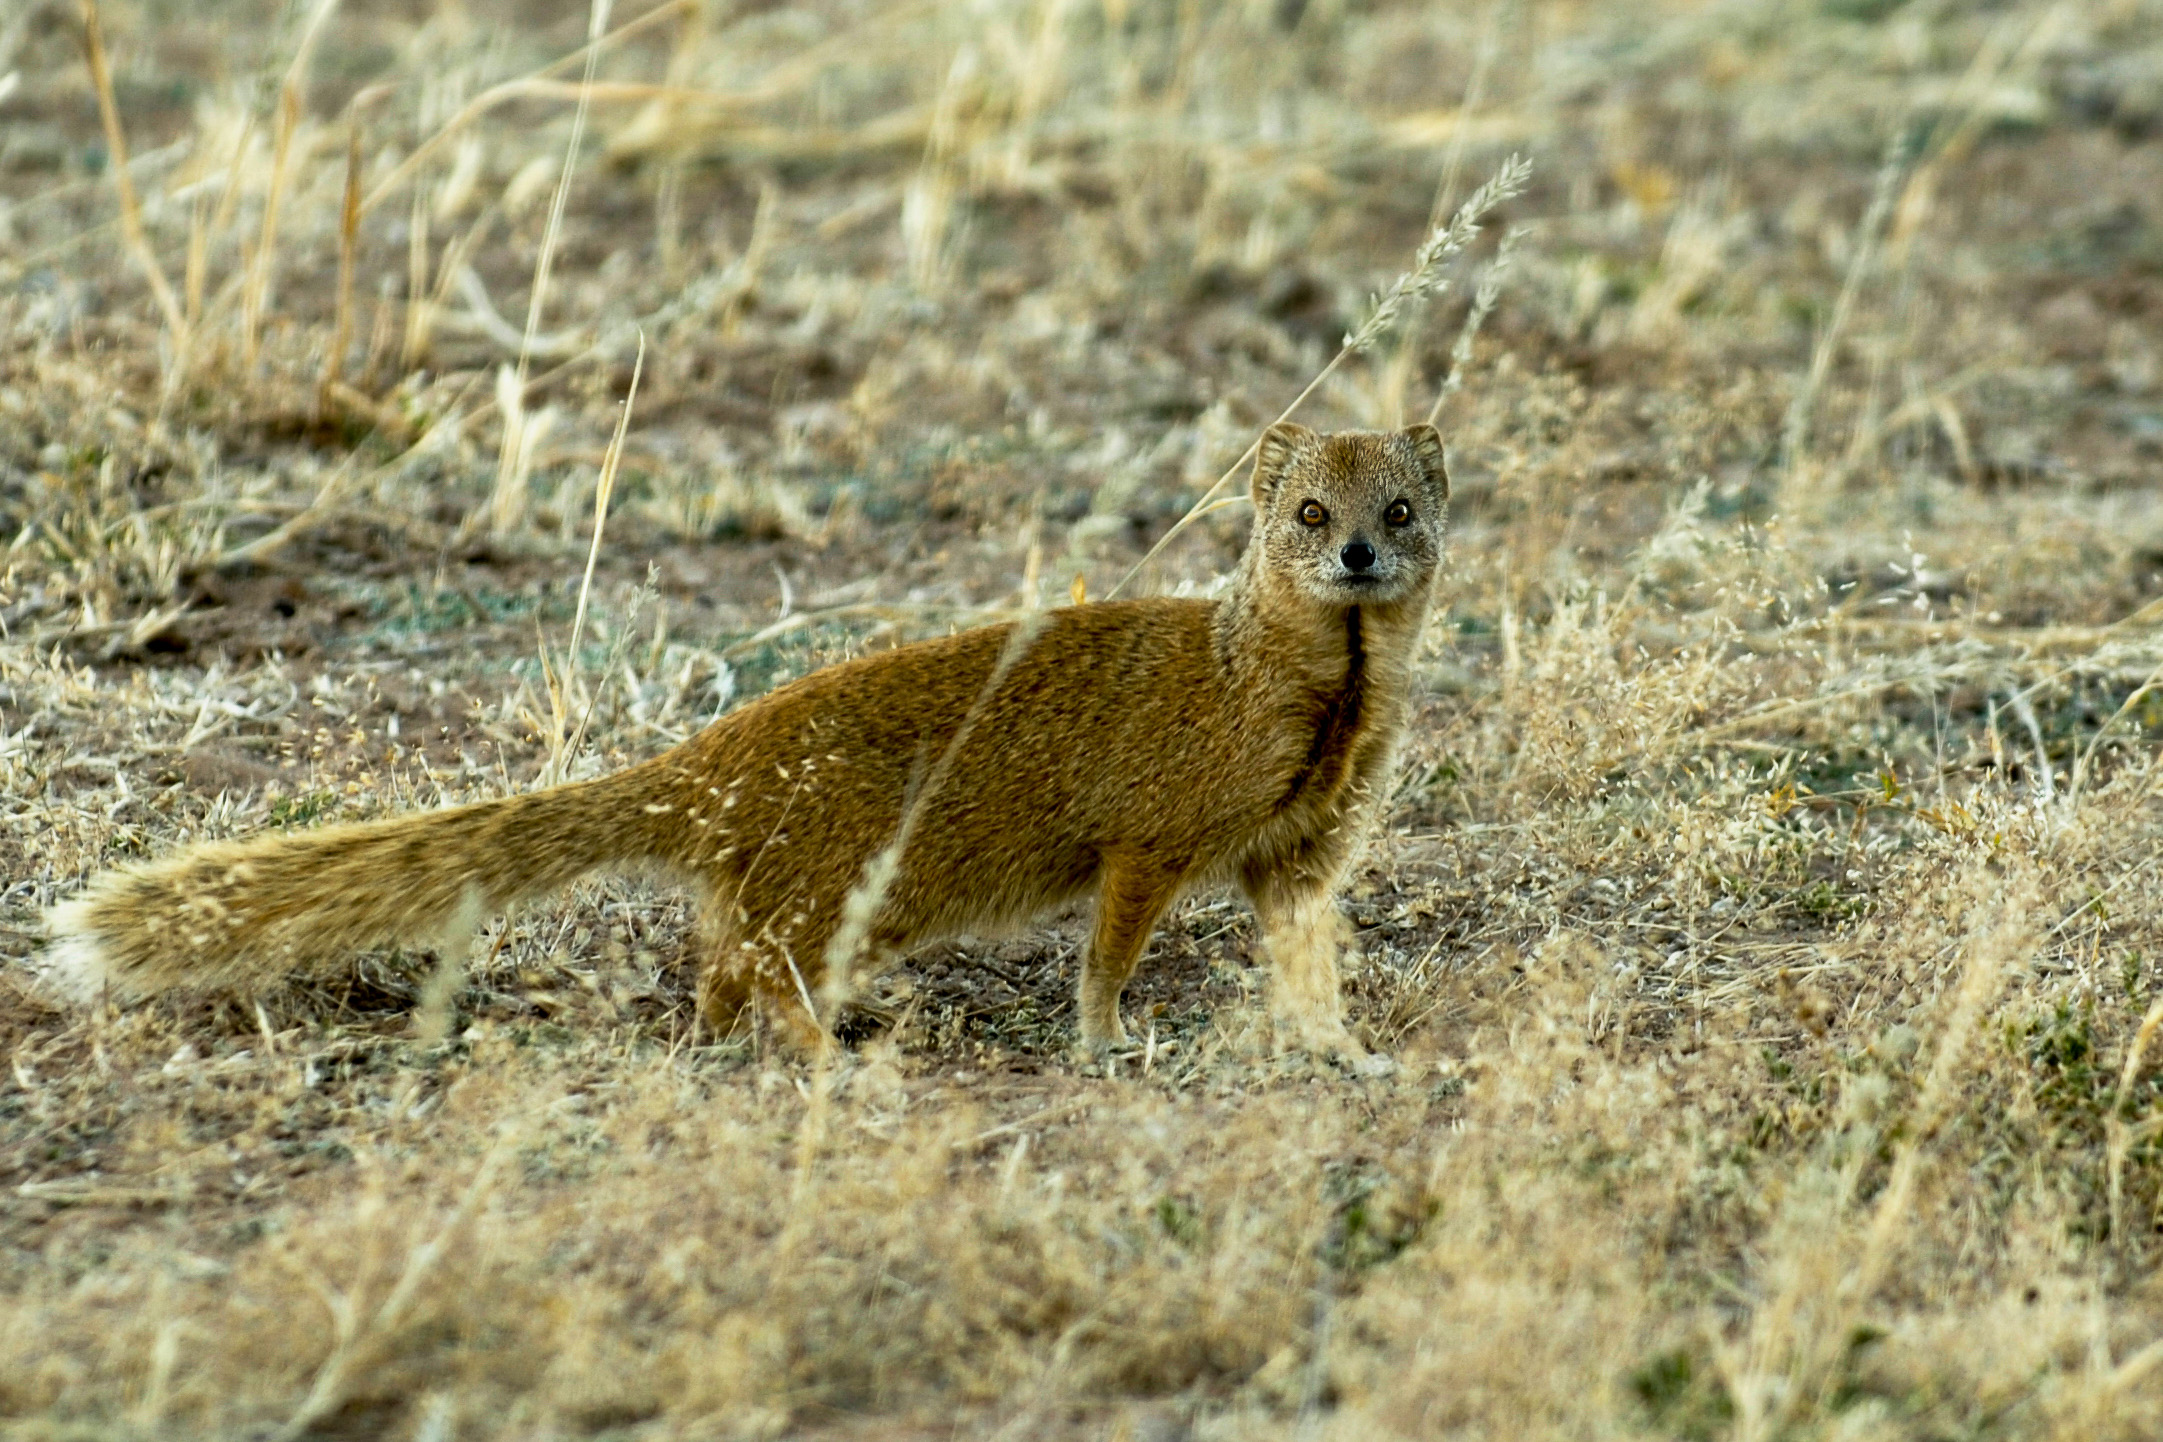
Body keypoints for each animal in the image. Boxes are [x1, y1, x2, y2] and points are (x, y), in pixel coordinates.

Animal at [39, 423, 1449, 1062]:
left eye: (1400, 507)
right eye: (1308, 510)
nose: (1356, 553)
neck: (1314, 701)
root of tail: (705, 762)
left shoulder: (1304, 843)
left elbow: (1305, 946)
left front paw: (1344, 1051)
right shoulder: (1153, 825)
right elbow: (1110, 946)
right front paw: (1105, 1044)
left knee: (720, 968)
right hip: (851, 870)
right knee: (762, 966)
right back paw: (835, 1052)